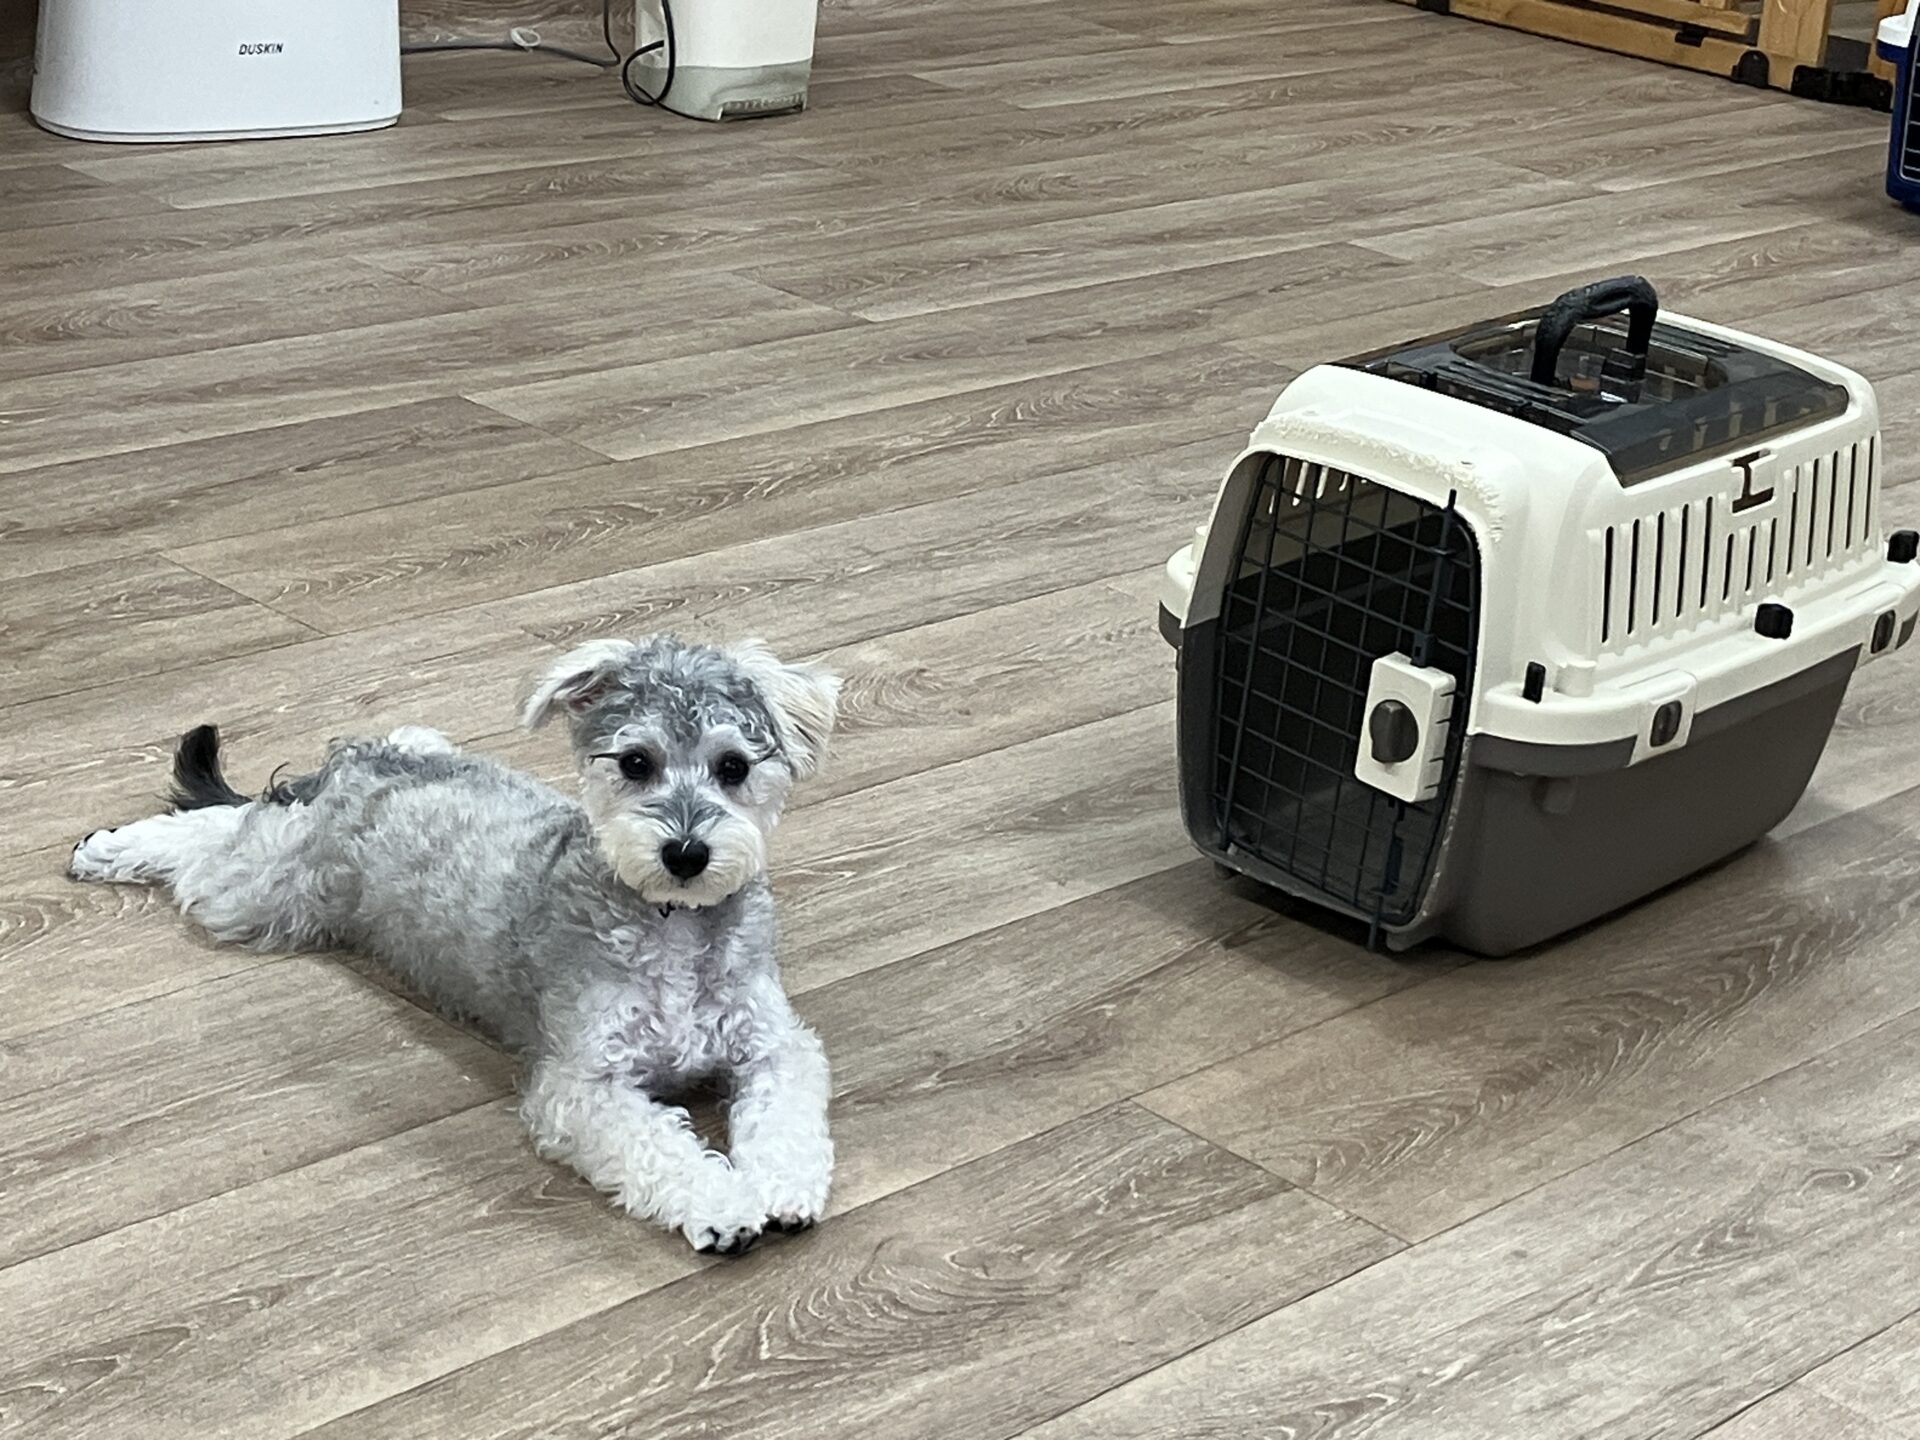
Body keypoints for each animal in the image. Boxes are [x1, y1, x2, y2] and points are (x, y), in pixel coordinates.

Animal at [68, 635, 840, 1256]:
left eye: (734, 766)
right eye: (635, 761)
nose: (686, 853)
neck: (671, 921)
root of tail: (360, 766)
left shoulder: (775, 1047)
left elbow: (786, 1120)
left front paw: (781, 1186)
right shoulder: (582, 1087)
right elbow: (660, 1150)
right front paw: (723, 1204)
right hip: (255, 893)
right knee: (210, 835)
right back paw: (108, 849)